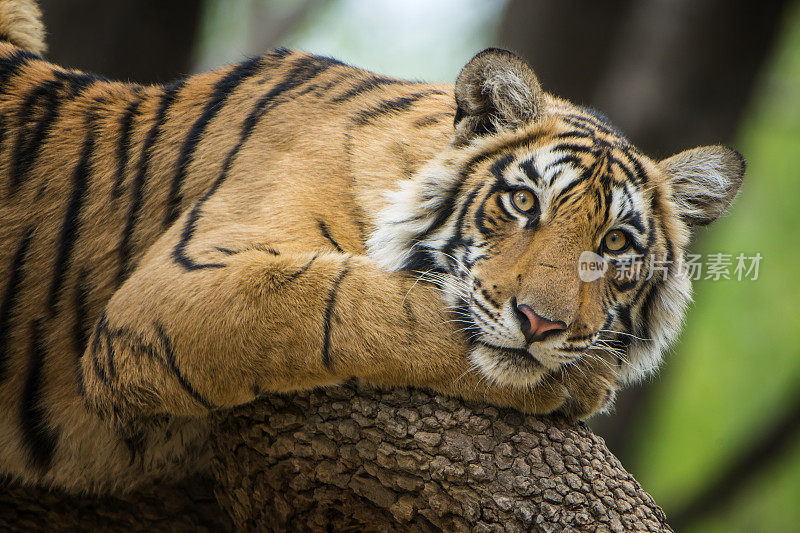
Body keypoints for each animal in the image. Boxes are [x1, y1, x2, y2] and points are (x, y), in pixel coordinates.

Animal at [0, 0, 744, 494]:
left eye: (615, 243)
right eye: (523, 203)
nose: (542, 325)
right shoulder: (177, 289)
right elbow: (358, 306)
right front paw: (580, 379)